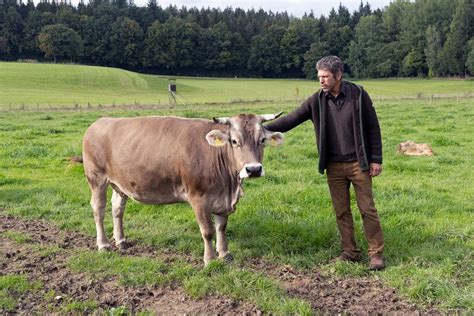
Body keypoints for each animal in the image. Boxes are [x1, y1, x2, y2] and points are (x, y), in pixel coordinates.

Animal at [82, 112, 284, 266]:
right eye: (234, 141)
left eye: (262, 140)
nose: (254, 169)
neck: (229, 185)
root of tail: (100, 122)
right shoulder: (198, 198)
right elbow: (208, 231)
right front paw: (210, 260)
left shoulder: (222, 199)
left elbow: (221, 227)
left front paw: (225, 254)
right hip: (96, 178)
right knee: (98, 209)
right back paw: (103, 245)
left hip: (120, 183)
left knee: (117, 208)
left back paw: (121, 241)